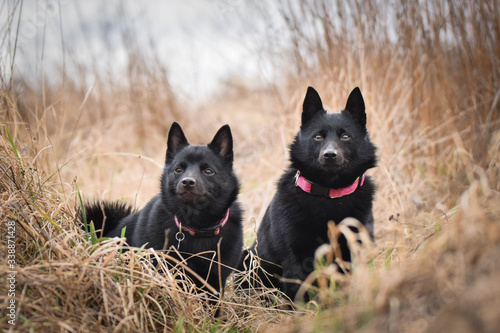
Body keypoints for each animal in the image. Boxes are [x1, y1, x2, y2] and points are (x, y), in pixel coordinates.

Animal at [244, 87, 376, 300]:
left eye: (345, 137)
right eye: (318, 137)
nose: (330, 155)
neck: (328, 194)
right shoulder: (296, 256)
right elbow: (300, 293)